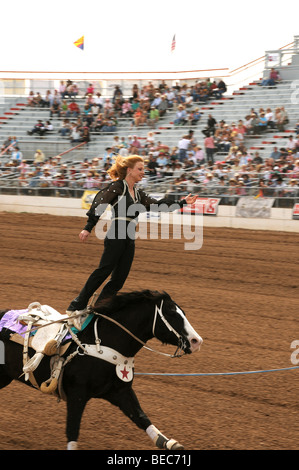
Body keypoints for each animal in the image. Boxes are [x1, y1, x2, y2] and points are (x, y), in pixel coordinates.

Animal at [0, 288, 203, 450]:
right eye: (171, 313)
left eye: (183, 312)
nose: (196, 341)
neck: (103, 343)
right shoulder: (77, 395)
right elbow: (72, 430)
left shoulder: (120, 391)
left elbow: (141, 417)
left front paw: (167, 442)